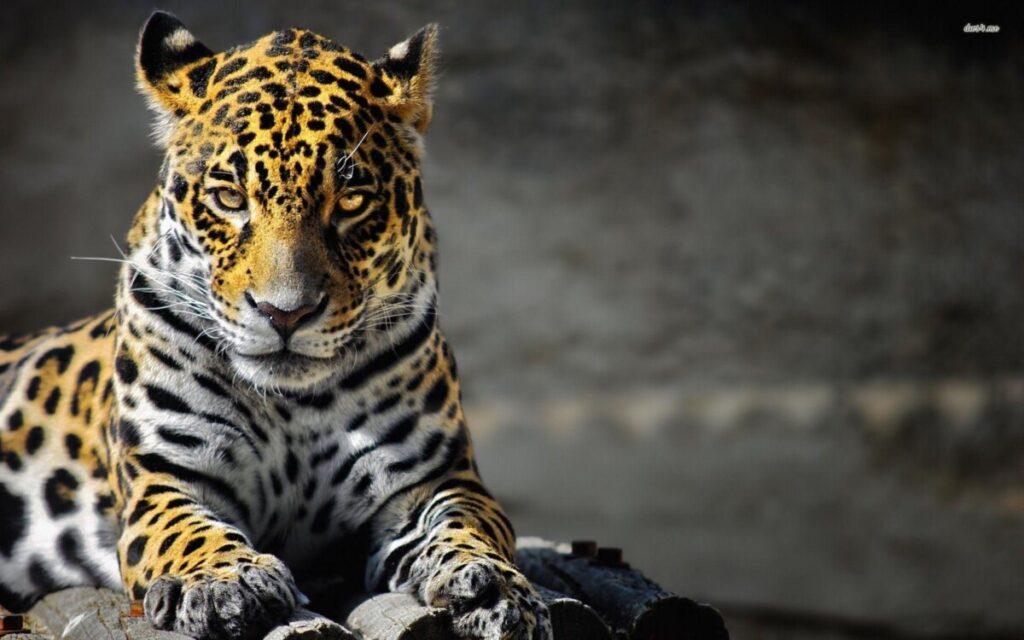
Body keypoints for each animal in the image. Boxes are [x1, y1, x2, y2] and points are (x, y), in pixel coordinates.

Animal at [0, 12, 551, 640]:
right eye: (228, 197)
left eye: (351, 201)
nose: (285, 312)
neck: (294, 406)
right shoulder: (163, 476)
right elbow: (187, 530)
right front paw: (225, 581)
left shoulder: (434, 479)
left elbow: (472, 525)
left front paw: (494, 587)